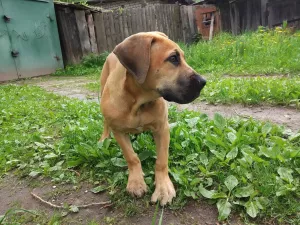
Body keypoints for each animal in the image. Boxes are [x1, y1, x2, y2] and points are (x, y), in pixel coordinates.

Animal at [99, 31, 205, 206]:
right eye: (173, 58)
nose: (203, 82)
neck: (138, 103)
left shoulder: (162, 128)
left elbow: (161, 161)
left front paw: (163, 188)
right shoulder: (119, 131)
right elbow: (131, 157)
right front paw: (136, 182)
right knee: (105, 122)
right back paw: (104, 138)